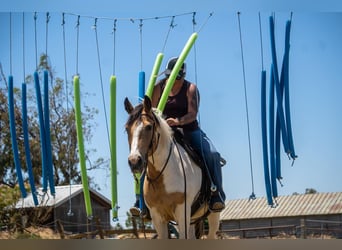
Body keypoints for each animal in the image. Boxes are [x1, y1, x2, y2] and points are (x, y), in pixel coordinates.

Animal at [124, 94, 220, 239]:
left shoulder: (182, 212)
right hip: (192, 220)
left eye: (148, 127)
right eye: (126, 128)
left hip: (213, 216)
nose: (134, 161)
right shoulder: (158, 217)